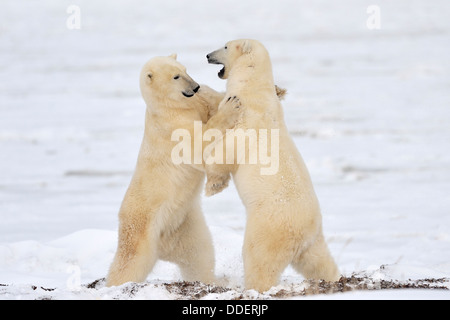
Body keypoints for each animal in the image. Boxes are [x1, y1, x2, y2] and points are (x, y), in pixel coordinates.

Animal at [105, 55, 241, 288]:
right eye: (176, 76)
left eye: (184, 70)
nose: (195, 87)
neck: (170, 107)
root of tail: (163, 247)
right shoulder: (173, 127)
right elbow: (199, 144)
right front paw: (230, 106)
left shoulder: (194, 105)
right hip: (141, 229)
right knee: (129, 262)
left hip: (184, 225)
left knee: (199, 254)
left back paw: (212, 280)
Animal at [206, 38, 340, 292]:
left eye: (226, 46)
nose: (208, 55)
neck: (253, 88)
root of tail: (301, 235)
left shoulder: (247, 121)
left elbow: (226, 151)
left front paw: (212, 186)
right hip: (313, 240)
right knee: (319, 261)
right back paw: (334, 278)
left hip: (267, 227)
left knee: (259, 259)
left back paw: (253, 287)